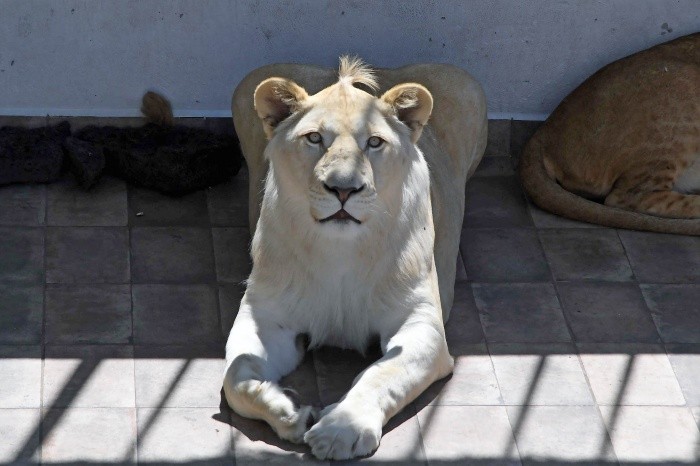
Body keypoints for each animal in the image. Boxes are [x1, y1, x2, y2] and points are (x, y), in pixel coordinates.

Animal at [223, 57, 487, 460]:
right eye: (314, 138)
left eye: (374, 142)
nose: (343, 189)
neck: (341, 252)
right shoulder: (266, 315)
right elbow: (235, 376)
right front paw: (289, 412)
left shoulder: (421, 323)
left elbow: (383, 373)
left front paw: (340, 430)